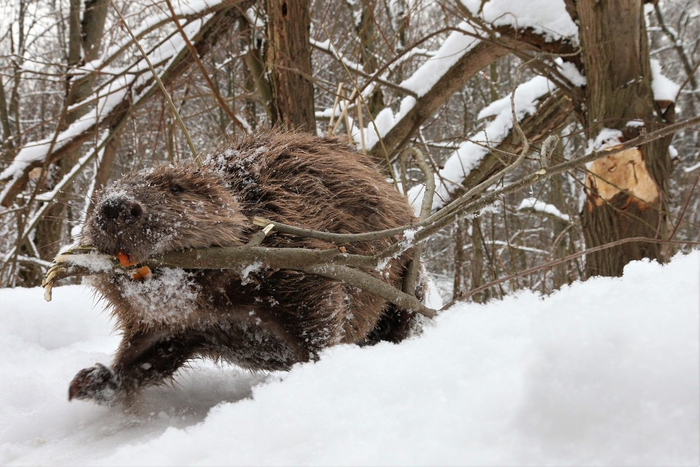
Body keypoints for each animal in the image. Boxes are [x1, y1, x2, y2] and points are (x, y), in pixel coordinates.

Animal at [69, 131, 422, 406]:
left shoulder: (296, 249)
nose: (115, 207)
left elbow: (320, 313)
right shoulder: (186, 324)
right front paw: (91, 382)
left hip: (410, 268)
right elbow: (150, 352)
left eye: (175, 187)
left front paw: (313, 370)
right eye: (98, 196)